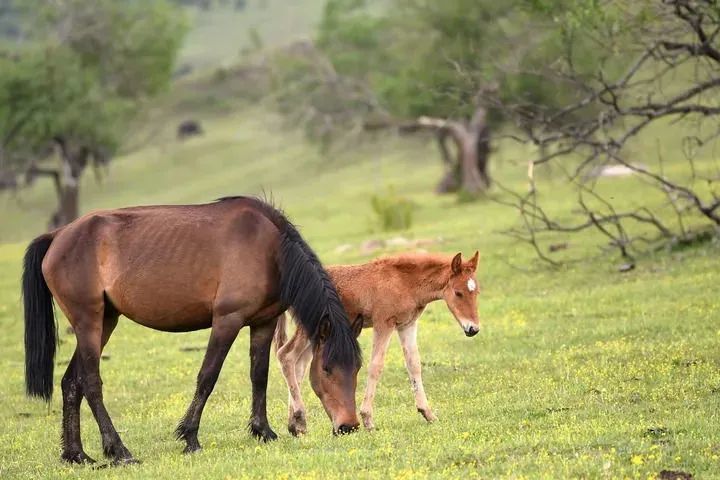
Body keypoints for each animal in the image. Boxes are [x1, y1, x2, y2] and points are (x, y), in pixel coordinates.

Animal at [22, 196, 362, 464]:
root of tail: (57, 235)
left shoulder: (263, 323)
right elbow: (207, 377)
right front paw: (190, 437)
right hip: (89, 321)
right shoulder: (227, 320)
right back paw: (118, 450)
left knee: (71, 382)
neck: (268, 248)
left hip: (105, 321)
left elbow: (259, 375)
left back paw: (76, 455)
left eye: (356, 368)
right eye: (327, 369)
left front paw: (263, 431)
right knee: (91, 383)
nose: (349, 426)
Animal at [276, 251, 484, 436]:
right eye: (458, 293)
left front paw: (428, 414)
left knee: (299, 365)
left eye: (477, 292)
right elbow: (376, 366)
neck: (404, 283)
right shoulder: (383, 323)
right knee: (286, 355)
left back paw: (296, 425)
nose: (472, 329)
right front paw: (368, 420)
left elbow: (414, 365)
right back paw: (298, 419)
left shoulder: (407, 325)